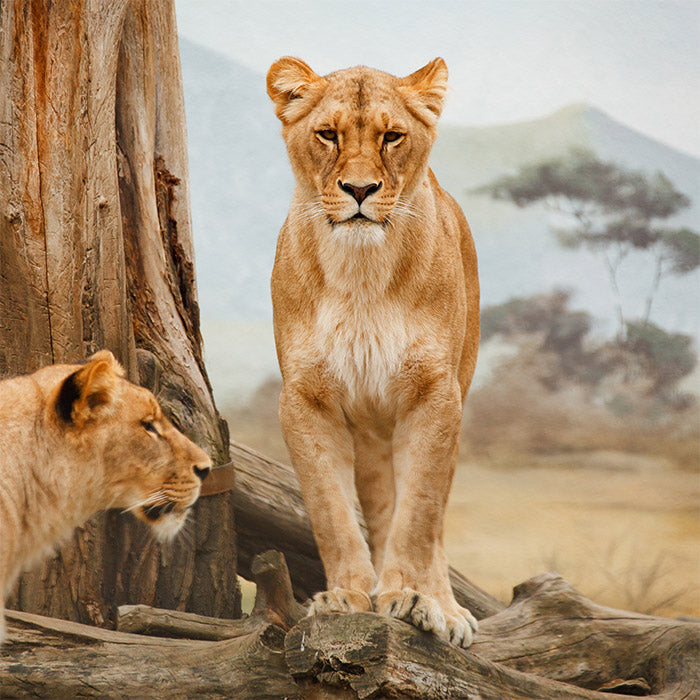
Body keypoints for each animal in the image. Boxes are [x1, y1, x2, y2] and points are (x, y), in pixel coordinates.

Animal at [267, 57, 480, 647]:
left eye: (391, 136)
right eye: (327, 134)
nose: (360, 189)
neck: (361, 271)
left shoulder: (435, 396)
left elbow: (419, 516)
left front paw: (410, 598)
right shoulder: (305, 400)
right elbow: (331, 510)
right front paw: (346, 596)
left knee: (434, 518)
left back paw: (445, 608)